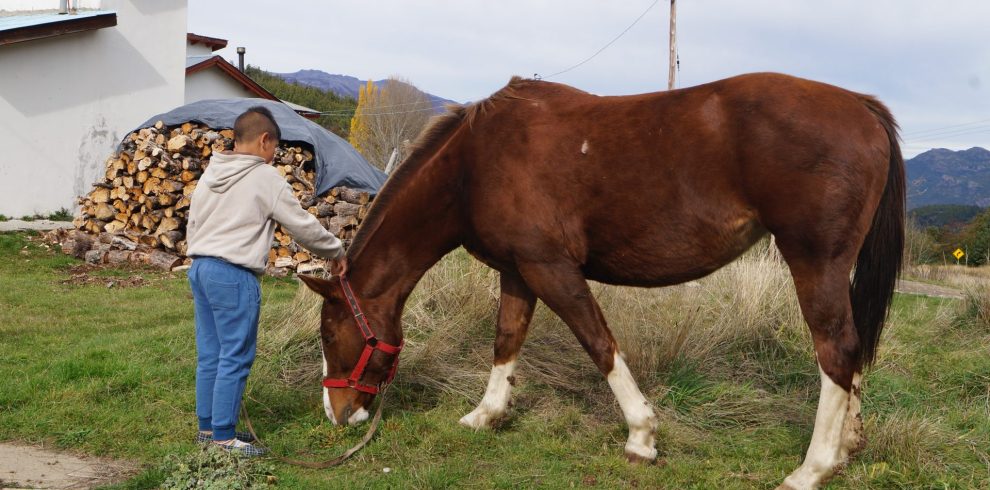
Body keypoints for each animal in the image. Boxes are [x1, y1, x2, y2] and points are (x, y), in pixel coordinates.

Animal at [300, 71, 908, 488]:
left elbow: (599, 344)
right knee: (852, 348)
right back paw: (847, 447)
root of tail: (860, 105)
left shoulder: (551, 268)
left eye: (329, 335)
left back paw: (813, 468)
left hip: (814, 260)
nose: (337, 416)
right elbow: (506, 341)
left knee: (836, 349)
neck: (474, 164)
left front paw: (642, 436)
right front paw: (486, 415)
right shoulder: (518, 272)